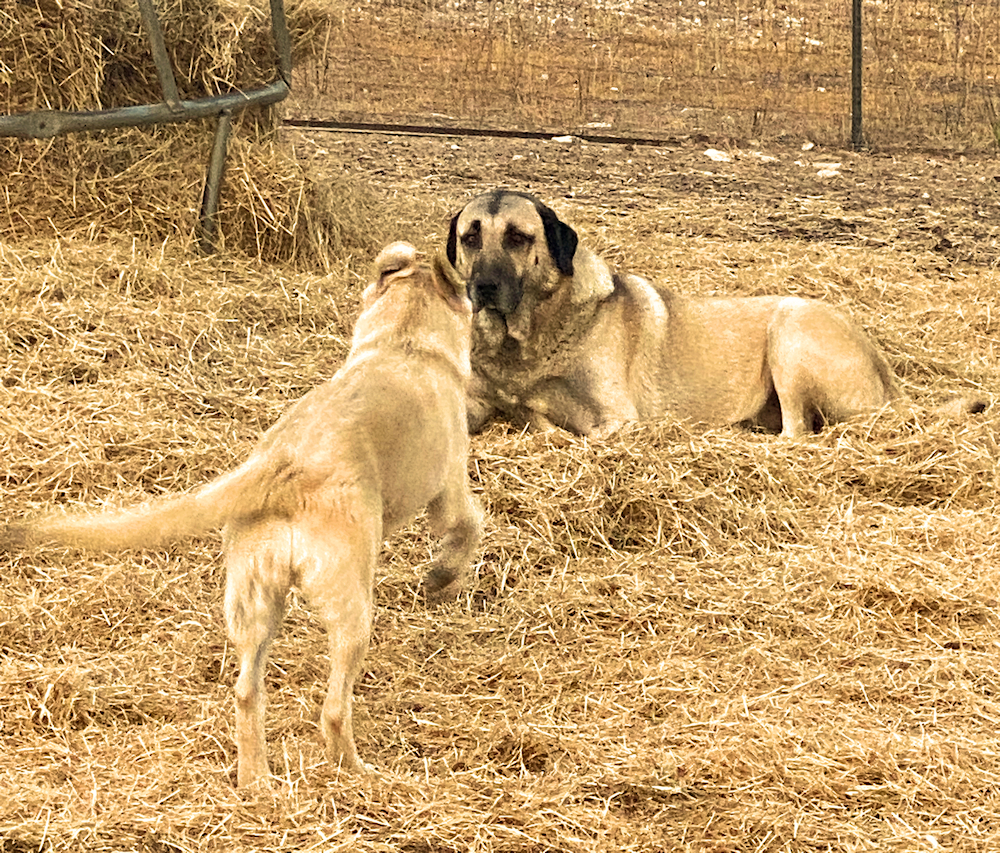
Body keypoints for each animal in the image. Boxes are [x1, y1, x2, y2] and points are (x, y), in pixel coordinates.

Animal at [0, 243, 484, 788]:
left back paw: (257, 782)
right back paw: (358, 773)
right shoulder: (449, 483)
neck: (404, 341)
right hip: (349, 607)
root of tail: (286, 465)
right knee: (334, 708)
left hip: (252, 601)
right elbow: (468, 526)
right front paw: (442, 578)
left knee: (247, 691)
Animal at [450, 189, 988, 436]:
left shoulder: (620, 418)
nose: (484, 287)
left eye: (518, 238)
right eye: (470, 237)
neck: (530, 337)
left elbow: (556, 425)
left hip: (790, 329)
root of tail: (891, 383)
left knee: (798, 433)